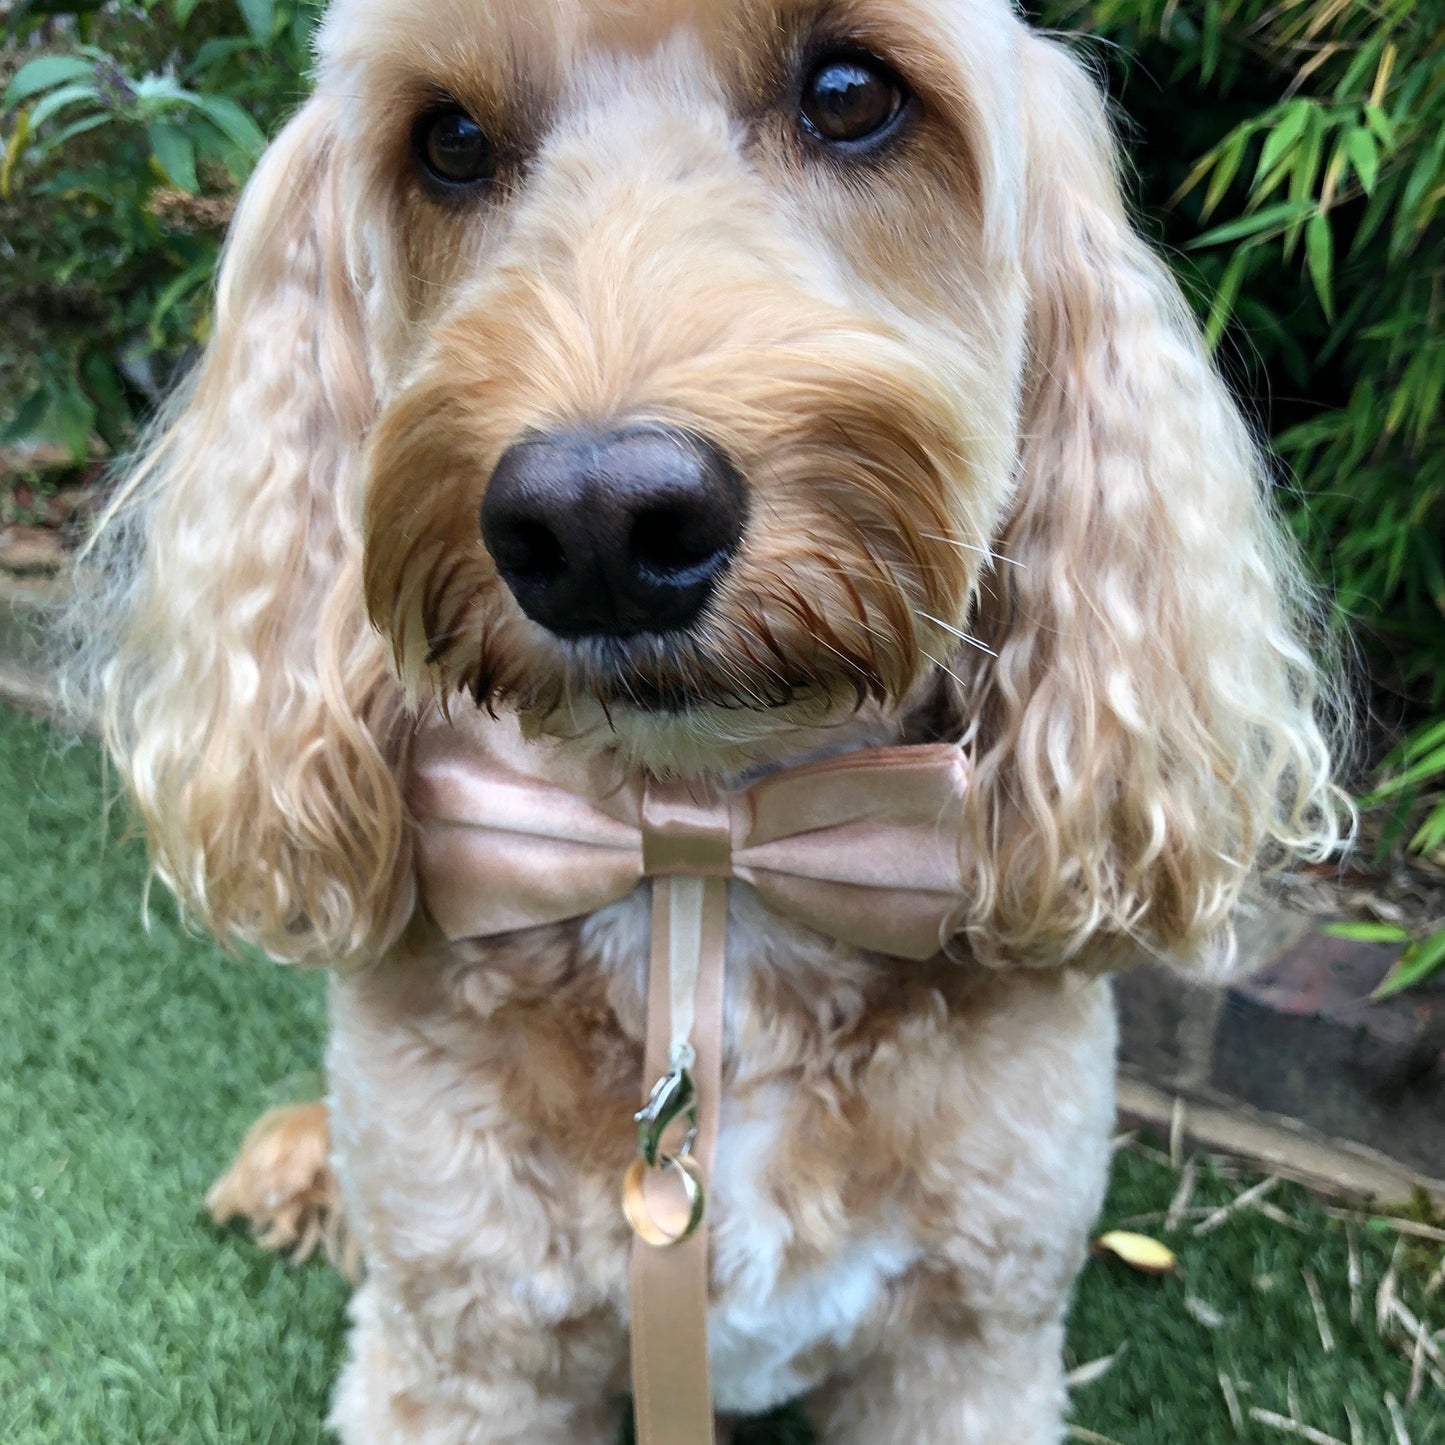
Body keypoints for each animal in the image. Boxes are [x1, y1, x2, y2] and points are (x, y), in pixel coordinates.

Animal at [82, 2, 1340, 1445]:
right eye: (446, 140)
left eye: (850, 94)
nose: (596, 523)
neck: (704, 851)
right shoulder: (462, 1353)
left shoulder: (965, 1351)